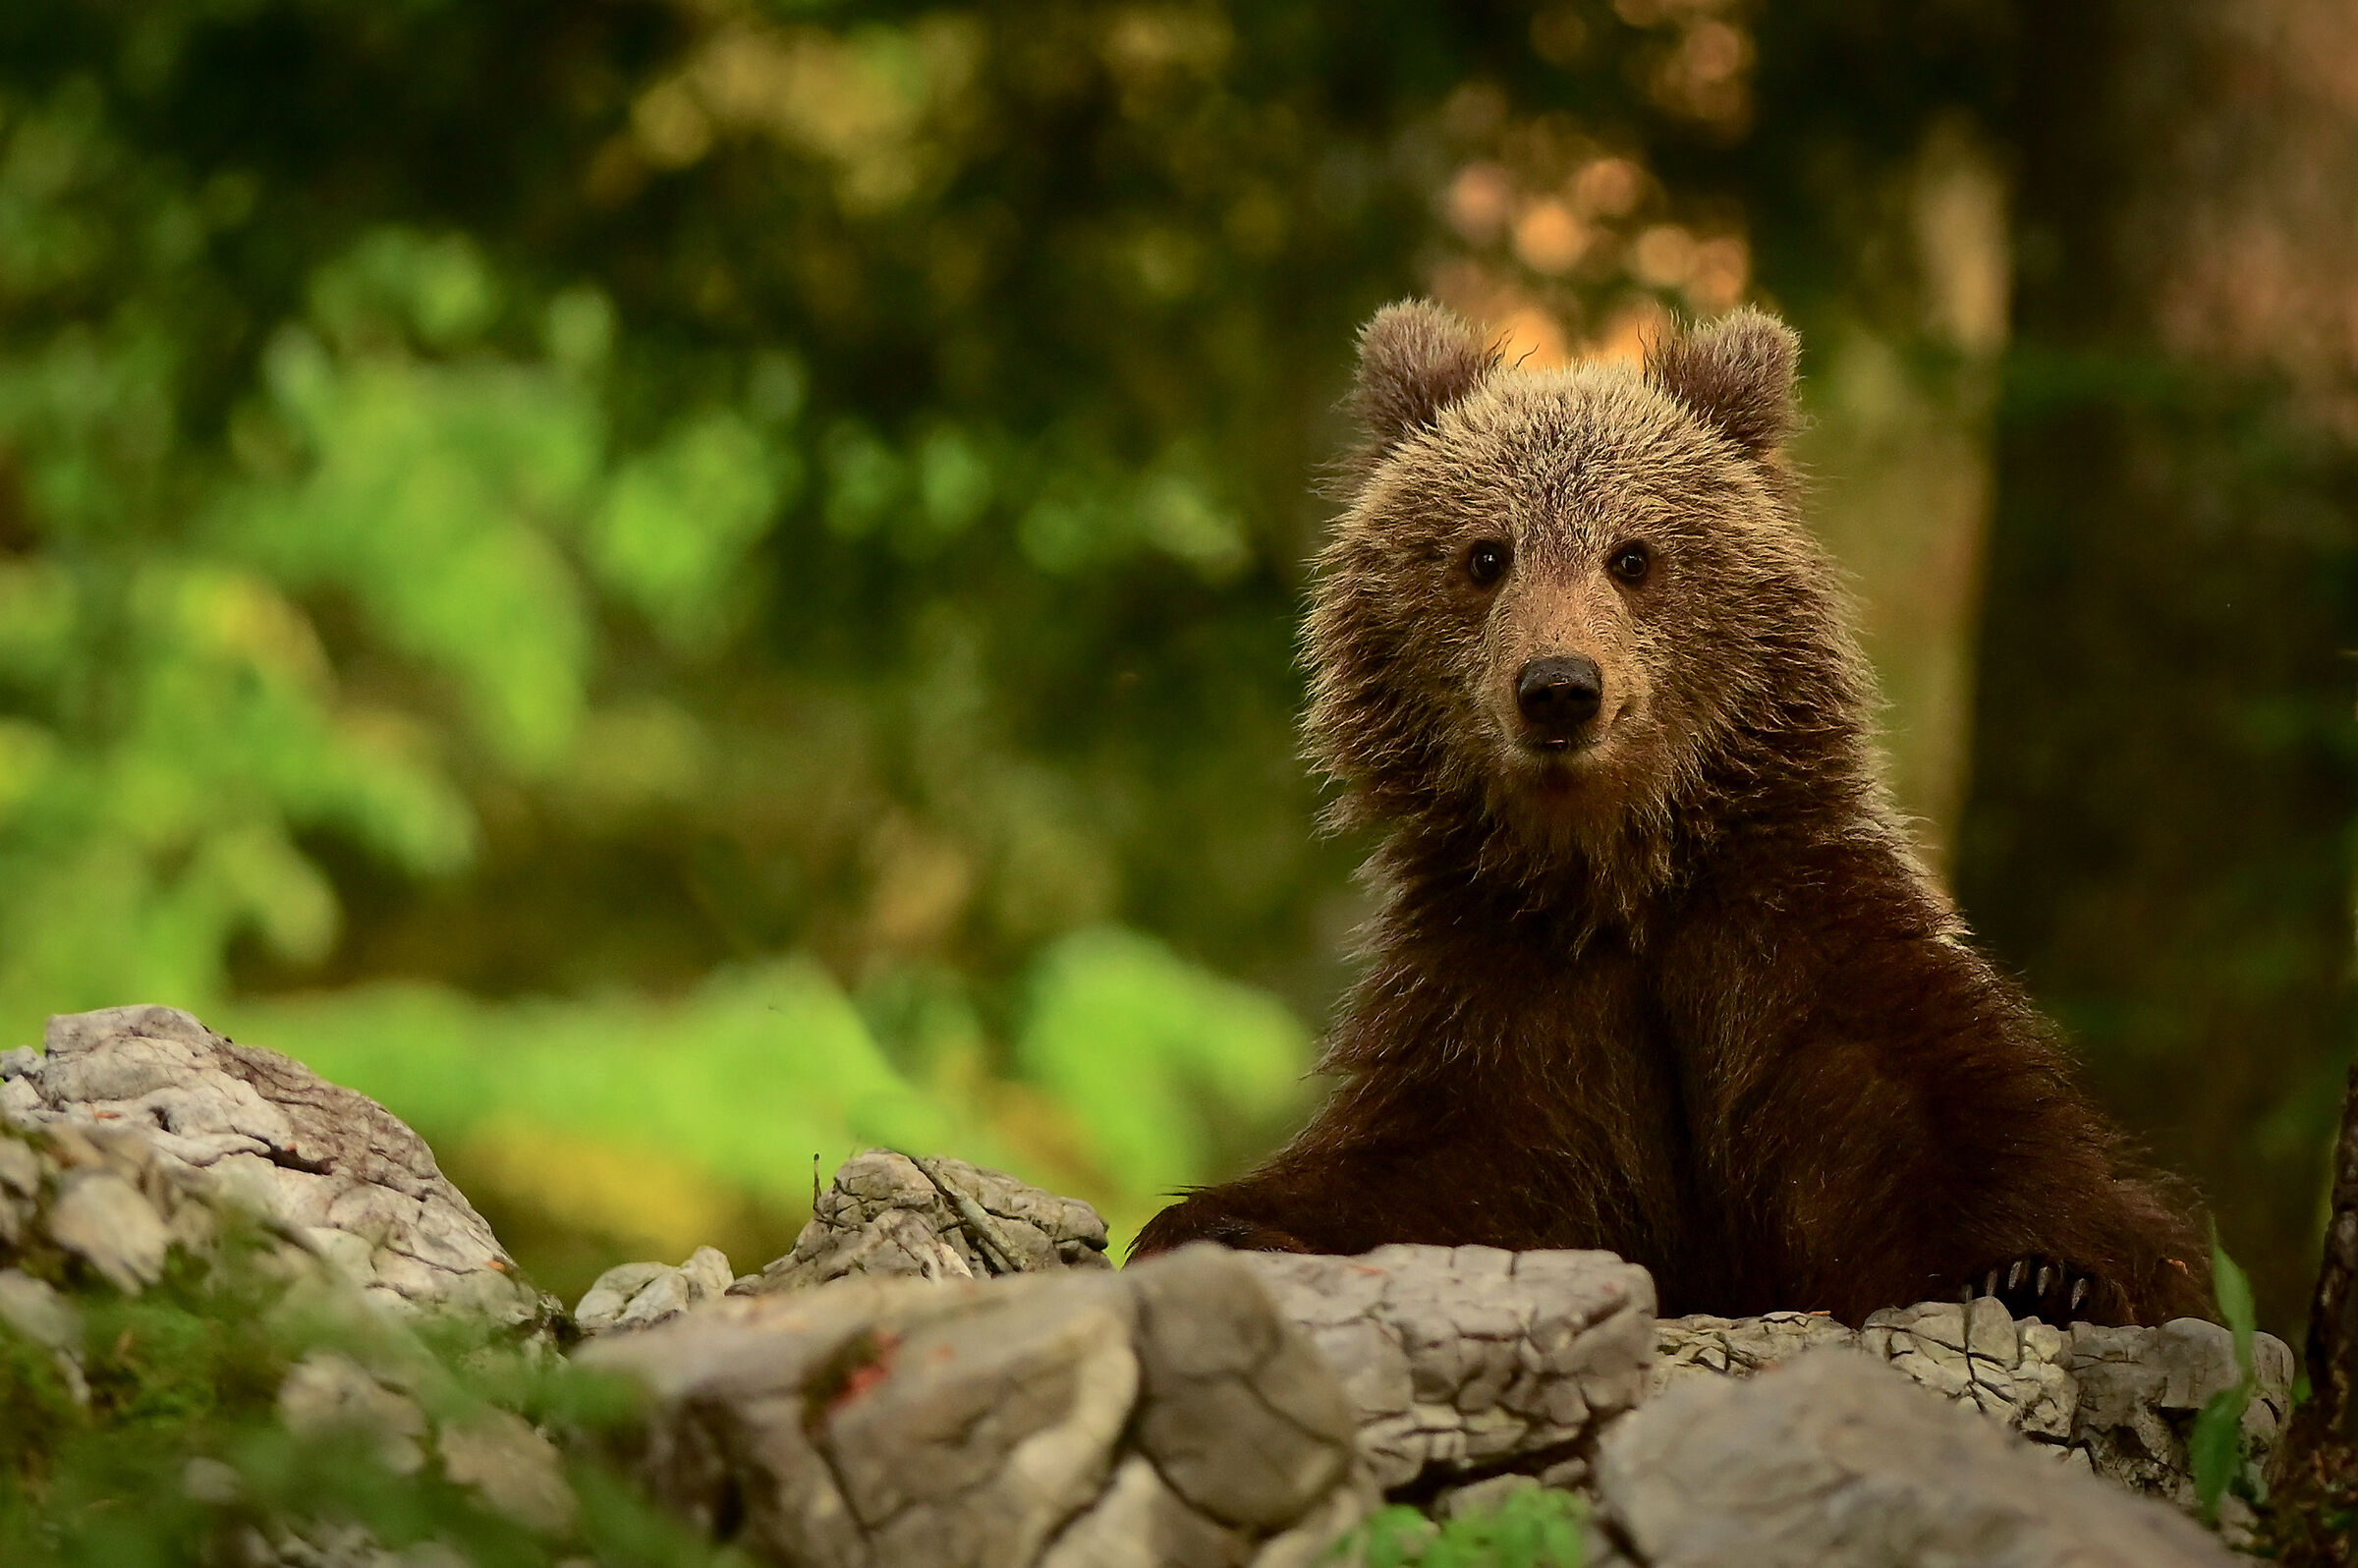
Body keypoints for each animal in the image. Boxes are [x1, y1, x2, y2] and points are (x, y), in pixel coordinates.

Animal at [1132, 300, 2213, 1329]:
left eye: (1634, 556)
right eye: (1486, 555)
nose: (1560, 688)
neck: (1618, 875)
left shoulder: (1790, 942)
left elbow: (1954, 1125)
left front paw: (2044, 1270)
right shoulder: (1506, 995)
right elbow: (1424, 1169)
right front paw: (1221, 1222)